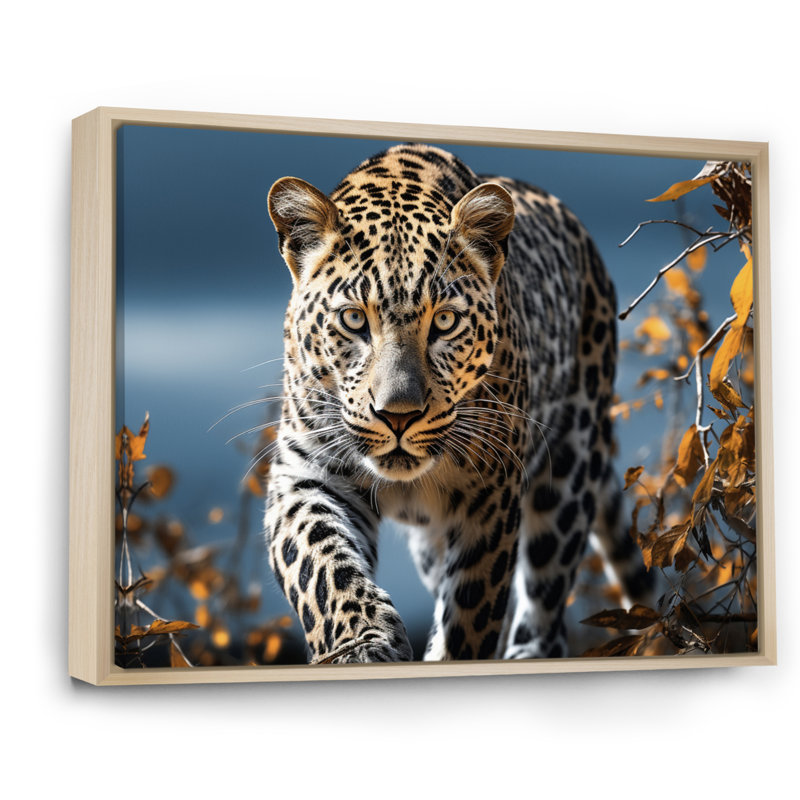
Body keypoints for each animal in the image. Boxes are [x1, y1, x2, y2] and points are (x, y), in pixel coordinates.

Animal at [263, 143, 652, 664]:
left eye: (445, 322)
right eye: (353, 320)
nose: (399, 416)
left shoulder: (491, 493)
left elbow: (471, 608)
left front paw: (448, 656)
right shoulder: (308, 470)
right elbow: (319, 562)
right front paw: (360, 644)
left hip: (568, 468)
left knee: (545, 598)